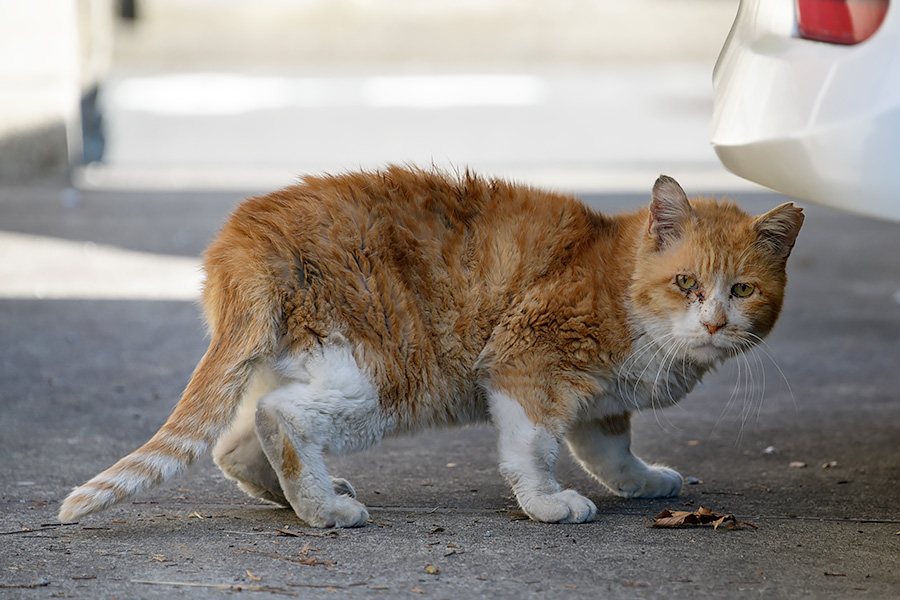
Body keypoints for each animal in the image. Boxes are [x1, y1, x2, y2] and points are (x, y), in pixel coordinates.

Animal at [58, 166, 800, 528]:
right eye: (687, 283)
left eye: (742, 289)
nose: (715, 323)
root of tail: (248, 231)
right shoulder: (526, 360)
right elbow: (531, 448)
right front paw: (547, 503)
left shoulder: (600, 399)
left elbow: (609, 449)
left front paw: (642, 481)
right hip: (383, 376)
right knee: (280, 420)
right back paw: (324, 511)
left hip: (304, 363)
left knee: (236, 442)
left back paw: (302, 498)